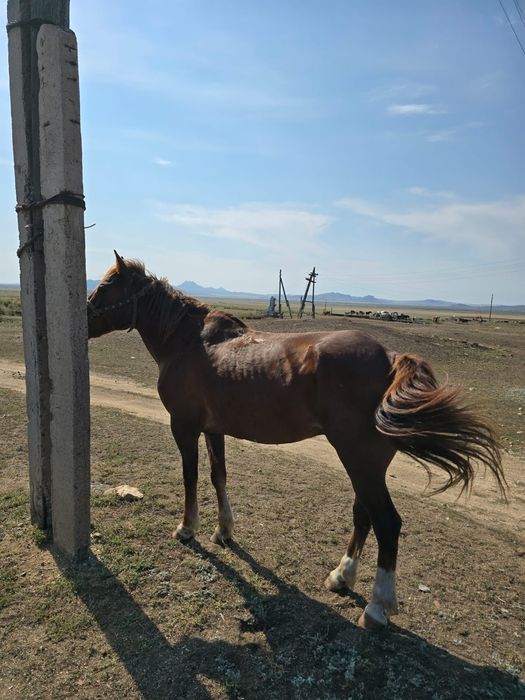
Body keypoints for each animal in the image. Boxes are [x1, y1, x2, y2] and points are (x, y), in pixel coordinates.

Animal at [87, 252, 506, 629]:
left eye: (106, 287)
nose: (82, 318)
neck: (187, 341)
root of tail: (390, 358)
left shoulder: (184, 426)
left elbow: (191, 478)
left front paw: (187, 528)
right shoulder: (213, 429)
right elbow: (219, 477)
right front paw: (224, 530)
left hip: (358, 457)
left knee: (387, 523)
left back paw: (377, 607)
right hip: (366, 463)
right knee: (364, 514)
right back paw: (342, 576)